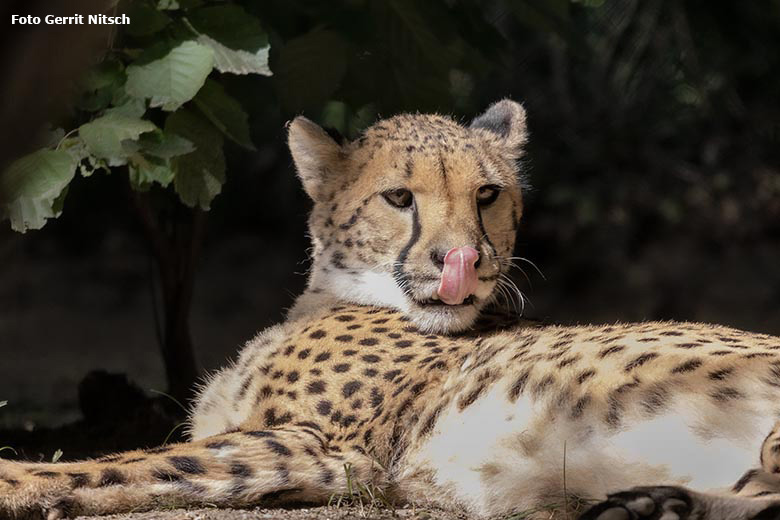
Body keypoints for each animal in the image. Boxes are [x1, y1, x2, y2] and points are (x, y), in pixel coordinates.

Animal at [1, 98, 780, 520]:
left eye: (487, 194)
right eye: (399, 197)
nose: (463, 260)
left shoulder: (326, 447)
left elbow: (115, 462)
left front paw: (22, 481)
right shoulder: (317, 462)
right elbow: (144, 466)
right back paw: (654, 503)